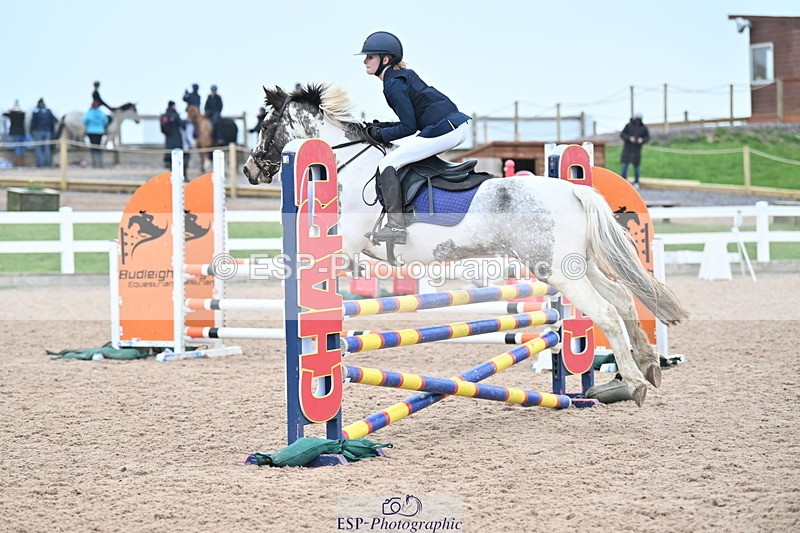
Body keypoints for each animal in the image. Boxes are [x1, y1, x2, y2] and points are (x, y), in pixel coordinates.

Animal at [242, 83, 688, 407]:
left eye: (265, 125)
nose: (249, 170)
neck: (349, 167)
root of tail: (574, 190)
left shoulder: (349, 245)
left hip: (557, 270)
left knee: (607, 312)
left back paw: (635, 383)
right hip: (579, 265)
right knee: (623, 299)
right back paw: (649, 367)